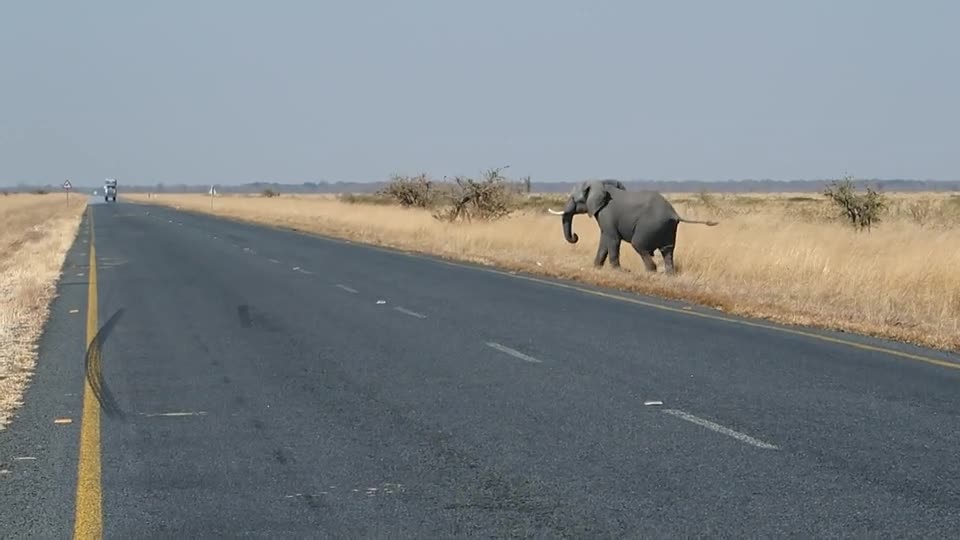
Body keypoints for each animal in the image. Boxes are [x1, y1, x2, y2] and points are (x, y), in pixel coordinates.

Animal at [548, 181, 720, 274]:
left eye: (574, 198)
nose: (575, 236)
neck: (601, 184)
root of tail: (674, 213)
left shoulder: (607, 213)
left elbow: (612, 239)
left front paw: (617, 271)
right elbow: (604, 238)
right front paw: (596, 267)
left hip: (650, 225)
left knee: (639, 245)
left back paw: (651, 272)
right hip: (668, 228)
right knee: (668, 250)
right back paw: (669, 275)